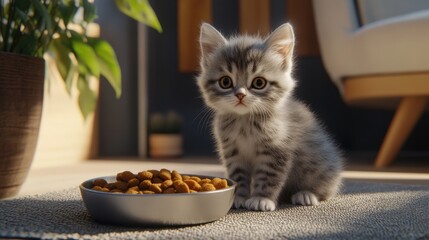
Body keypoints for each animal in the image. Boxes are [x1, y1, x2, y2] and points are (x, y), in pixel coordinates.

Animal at [196, 22, 342, 210]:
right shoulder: (232, 151)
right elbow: (238, 175)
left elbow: (268, 177)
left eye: (259, 82)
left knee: (325, 189)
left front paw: (261, 199)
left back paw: (306, 194)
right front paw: (239, 197)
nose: (240, 95)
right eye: (225, 82)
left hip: (319, 164)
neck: (245, 122)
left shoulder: (277, 150)